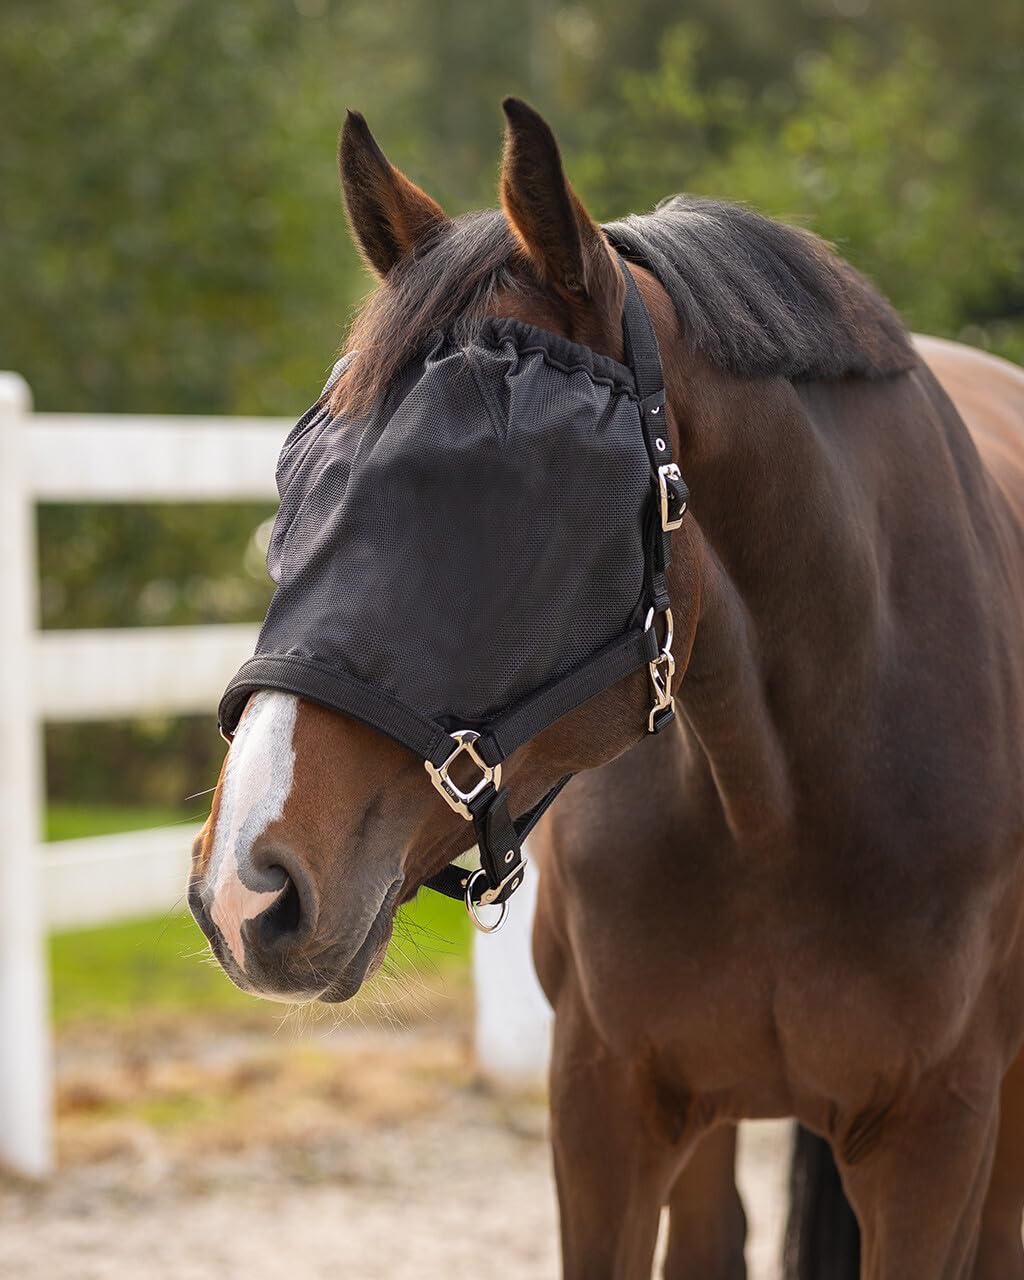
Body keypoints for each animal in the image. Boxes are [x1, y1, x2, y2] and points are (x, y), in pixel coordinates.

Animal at [188, 99, 1024, 1278]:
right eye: (296, 482)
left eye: (520, 497)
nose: (247, 887)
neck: (790, 802)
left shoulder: (935, 1134)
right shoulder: (602, 1105)